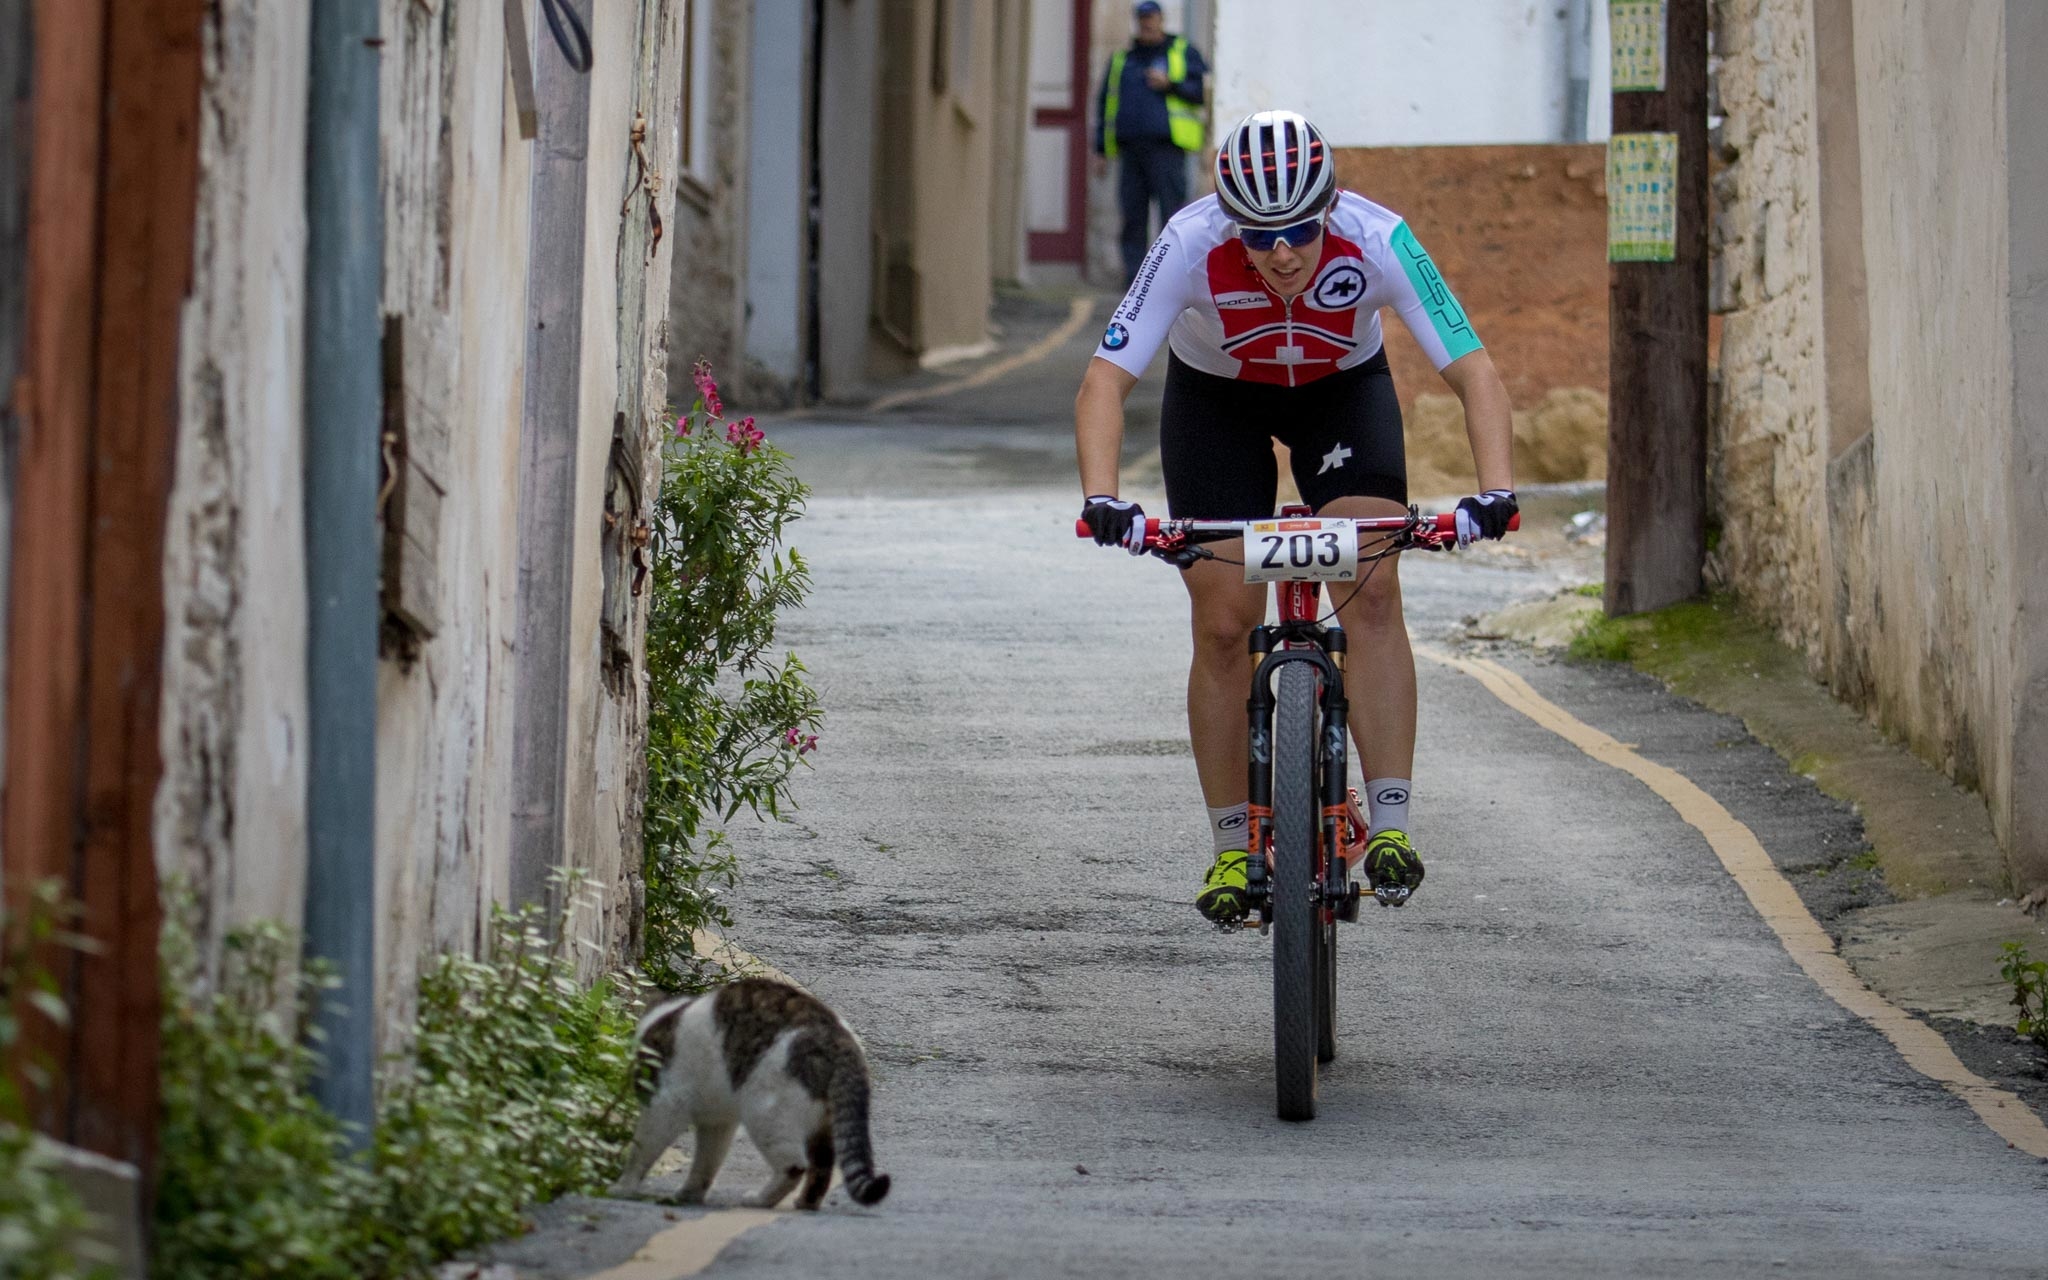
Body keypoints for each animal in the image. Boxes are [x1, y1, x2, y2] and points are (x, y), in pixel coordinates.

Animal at [610, 978, 892, 1204]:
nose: (634, 1081)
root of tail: (841, 1040)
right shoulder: (718, 1121)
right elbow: (707, 1160)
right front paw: (691, 1193)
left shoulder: (666, 1102)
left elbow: (641, 1151)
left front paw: (624, 1186)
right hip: (821, 1124)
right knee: (822, 1168)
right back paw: (804, 1203)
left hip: (765, 1111)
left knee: (795, 1166)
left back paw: (759, 1200)